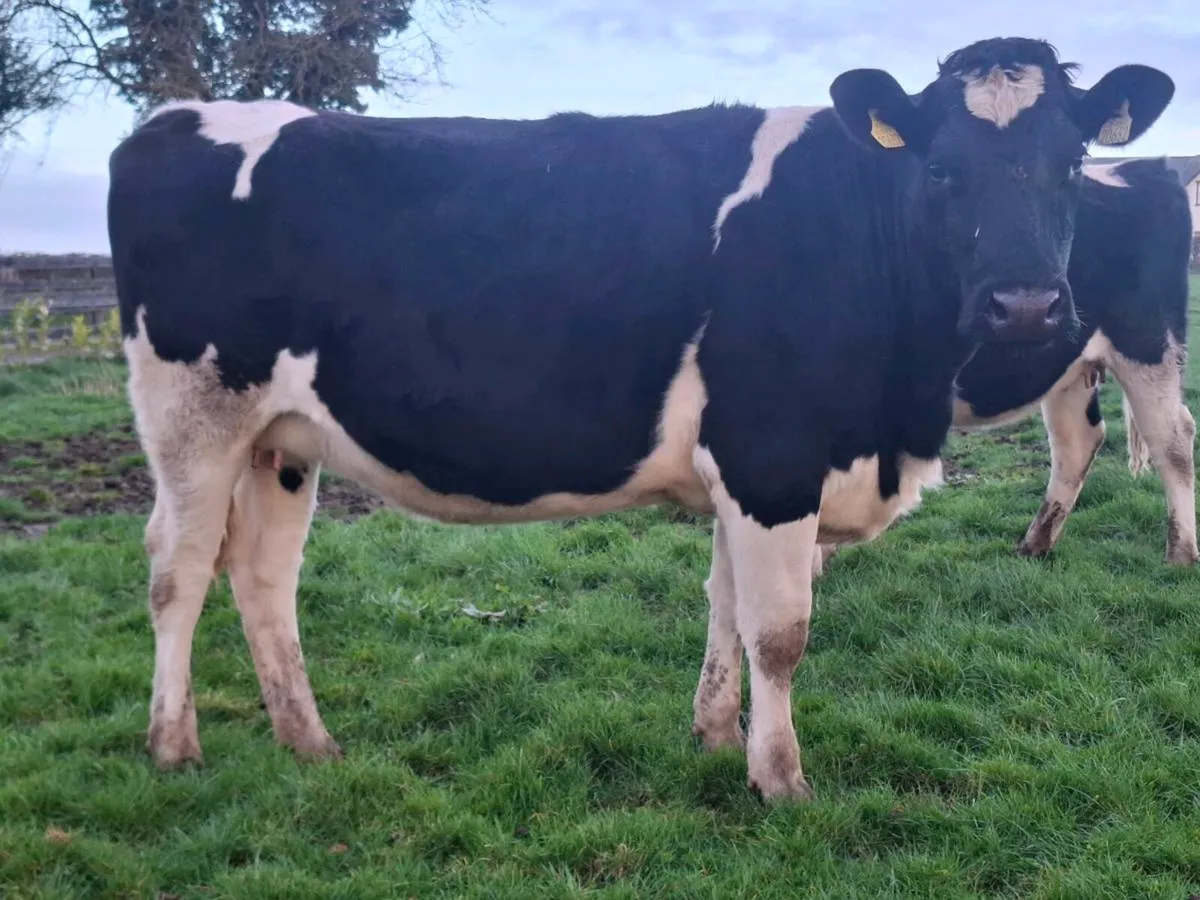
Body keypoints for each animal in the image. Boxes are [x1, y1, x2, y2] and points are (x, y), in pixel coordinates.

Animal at [812, 157, 1198, 579]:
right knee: (1077, 441)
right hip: (1068, 367)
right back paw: (1035, 543)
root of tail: (1140, 166)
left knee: (1173, 438)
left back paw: (1181, 554)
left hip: (1150, 345)